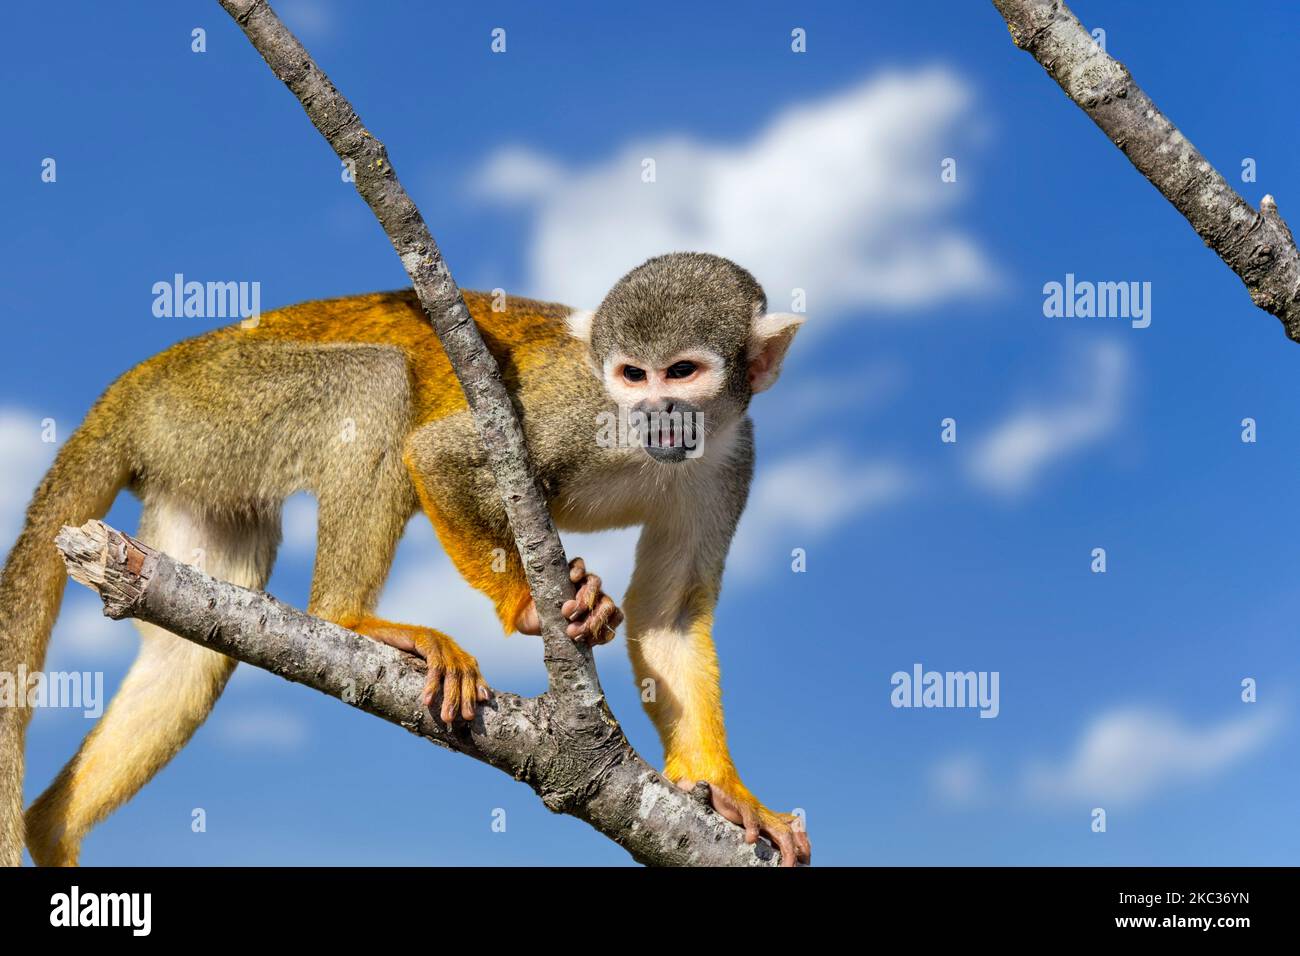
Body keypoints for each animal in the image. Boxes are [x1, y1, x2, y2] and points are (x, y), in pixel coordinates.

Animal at [0, 251, 806, 863]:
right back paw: (349, 619)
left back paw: (49, 831)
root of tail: (135, 384)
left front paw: (728, 796)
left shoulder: (733, 455)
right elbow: (439, 454)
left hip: (194, 455)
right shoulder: (579, 408)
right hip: (212, 403)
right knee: (377, 381)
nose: (653, 412)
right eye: (633, 375)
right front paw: (530, 605)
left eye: (683, 371)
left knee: (186, 659)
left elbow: (669, 616)